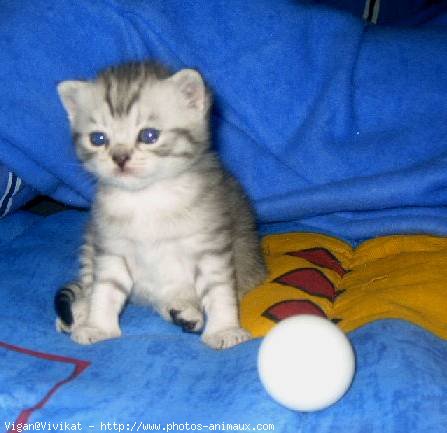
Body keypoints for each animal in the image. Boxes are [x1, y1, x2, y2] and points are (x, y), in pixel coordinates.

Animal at [54, 61, 268, 348]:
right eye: (98, 139)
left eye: (149, 135)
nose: (120, 158)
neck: (146, 197)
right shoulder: (111, 247)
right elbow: (105, 288)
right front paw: (98, 325)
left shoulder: (210, 246)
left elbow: (218, 289)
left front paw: (224, 329)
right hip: (91, 242)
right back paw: (81, 310)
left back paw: (185, 310)